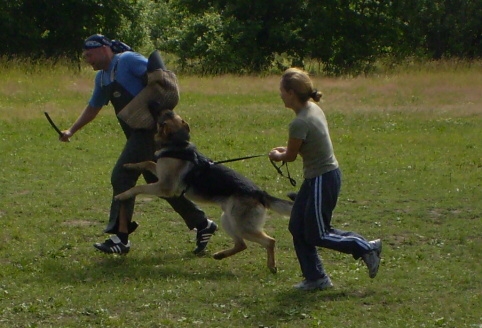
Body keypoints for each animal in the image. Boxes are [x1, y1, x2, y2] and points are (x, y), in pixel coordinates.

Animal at [115, 111, 292, 272]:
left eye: (167, 118)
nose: (165, 109)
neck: (177, 144)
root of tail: (260, 193)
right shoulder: (160, 173)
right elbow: (147, 162)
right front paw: (129, 165)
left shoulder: (164, 186)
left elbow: (139, 187)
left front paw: (122, 195)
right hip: (227, 219)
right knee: (242, 244)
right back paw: (220, 255)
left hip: (242, 225)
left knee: (270, 241)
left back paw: (272, 266)